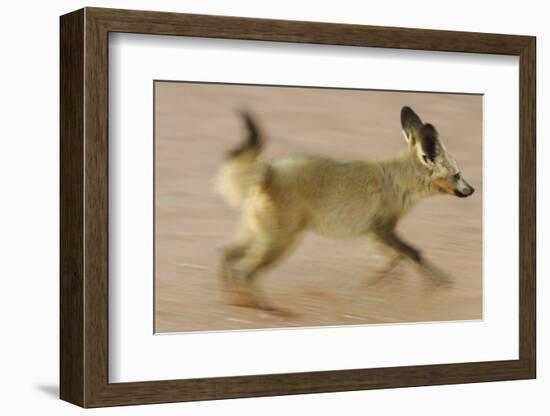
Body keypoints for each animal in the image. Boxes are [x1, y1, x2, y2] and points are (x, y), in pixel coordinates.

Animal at [218, 106, 476, 308]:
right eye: (458, 175)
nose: (472, 190)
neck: (398, 179)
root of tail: (268, 171)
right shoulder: (382, 229)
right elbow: (413, 253)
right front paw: (437, 282)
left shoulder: (376, 232)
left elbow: (397, 258)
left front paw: (380, 282)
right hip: (280, 242)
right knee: (246, 272)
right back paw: (261, 307)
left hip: (261, 236)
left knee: (226, 256)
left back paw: (234, 299)